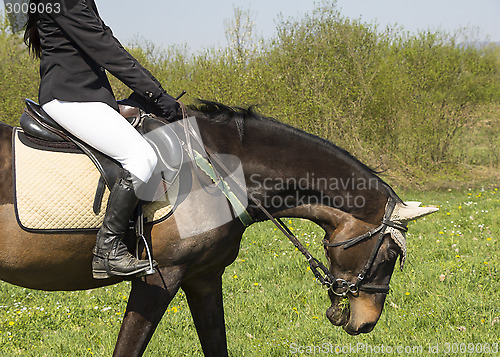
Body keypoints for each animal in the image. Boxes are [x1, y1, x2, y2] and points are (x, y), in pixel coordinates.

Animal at [0, 101, 438, 354]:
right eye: (389, 253)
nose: (366, 323)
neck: (217, 172)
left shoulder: (204, 278)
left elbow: (216, 344)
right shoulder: (159, 279)